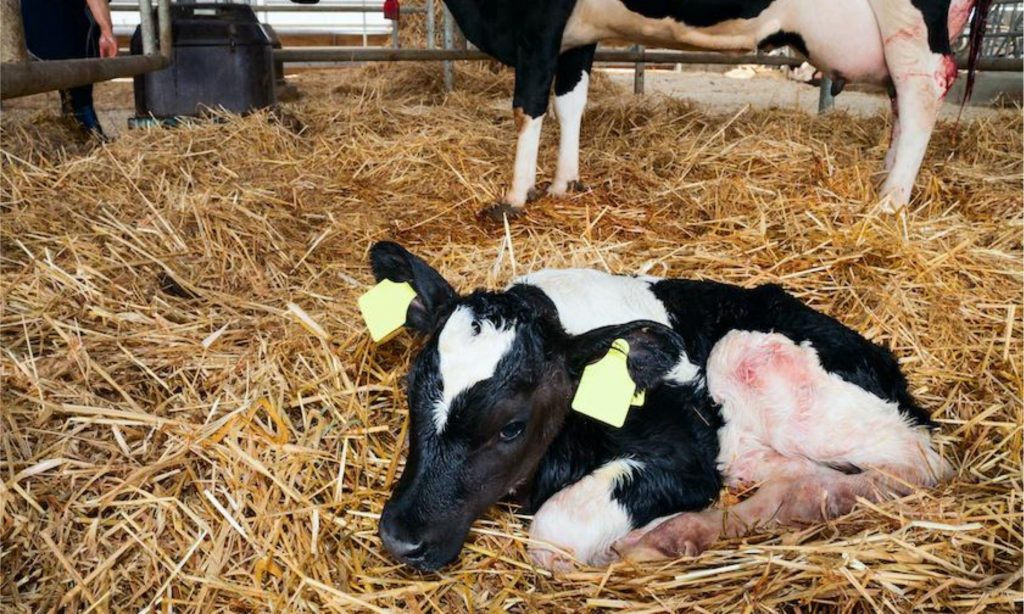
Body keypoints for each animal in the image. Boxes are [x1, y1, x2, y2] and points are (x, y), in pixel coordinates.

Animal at [368, 239, 950, 568]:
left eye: (512, 426)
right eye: (411, 390)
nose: (400, 540)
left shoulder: (687, 456)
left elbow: (555, 531)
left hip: (746, 353)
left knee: (915, 467)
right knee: (792, 478)